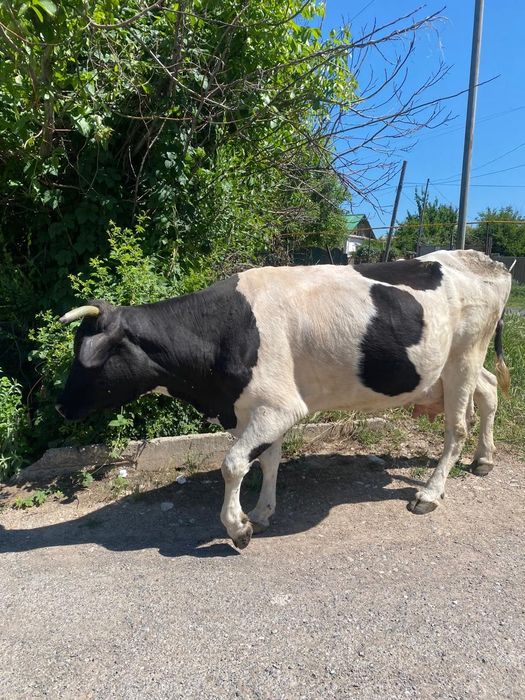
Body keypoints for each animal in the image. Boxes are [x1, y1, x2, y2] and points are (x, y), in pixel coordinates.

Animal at [56, 250, 512, 549]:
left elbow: (232, 464)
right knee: (489, 391)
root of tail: (484, 259)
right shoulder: (255, 408)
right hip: (458, 365)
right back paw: (483, 459)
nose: (60, 406)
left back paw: (430, 493)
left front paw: (237, 528)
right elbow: (267, 461)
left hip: (464, 355)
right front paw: (260, 513)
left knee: (458, 427)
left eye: (88, 359)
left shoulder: (279, 407)